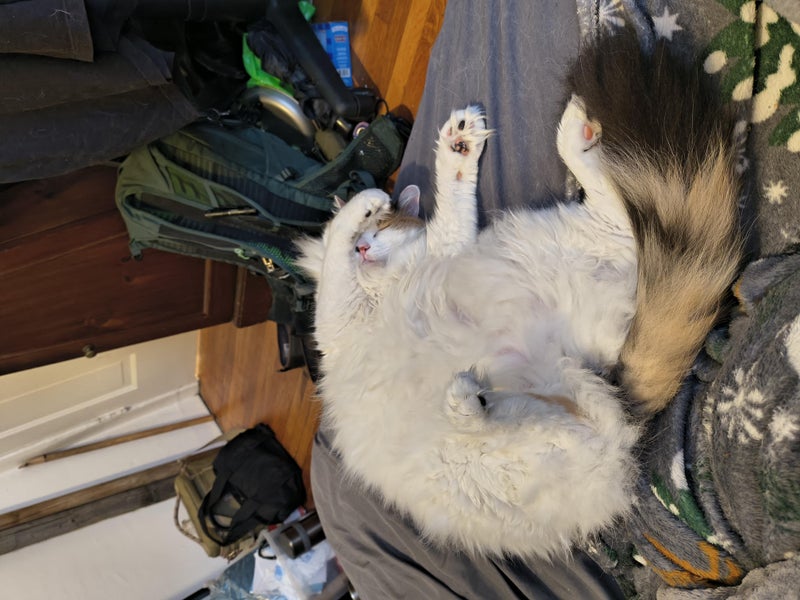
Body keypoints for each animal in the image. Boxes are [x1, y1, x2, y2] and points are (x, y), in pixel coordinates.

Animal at [295, 33, 743, 558]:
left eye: (383, 227)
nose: (365, 245)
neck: (382, 285)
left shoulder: (435, 251)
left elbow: (398, 226)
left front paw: (417, 170)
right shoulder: (345, 311)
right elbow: (336, 257)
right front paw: (358, 211)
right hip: (525, 435)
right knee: (559, 421)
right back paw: (471, 401)